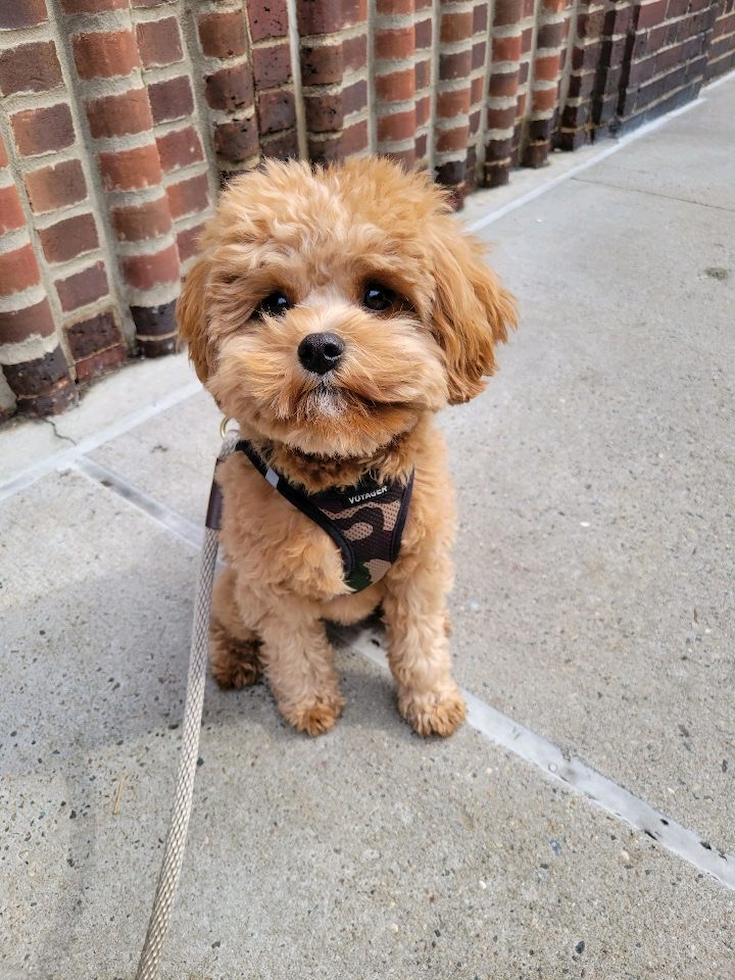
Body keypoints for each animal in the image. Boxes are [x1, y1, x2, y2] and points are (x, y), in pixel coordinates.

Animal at [177, 155, 516, 736]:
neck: (345, 474)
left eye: (378, 297)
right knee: (223, 625)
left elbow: (420, 641)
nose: (318, 346)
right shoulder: (273, 590)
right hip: (232, 589)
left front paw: (430, 700)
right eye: (274, 303)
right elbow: (294, 652)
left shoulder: (420, 567)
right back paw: (230, 659)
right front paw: (310, 704)